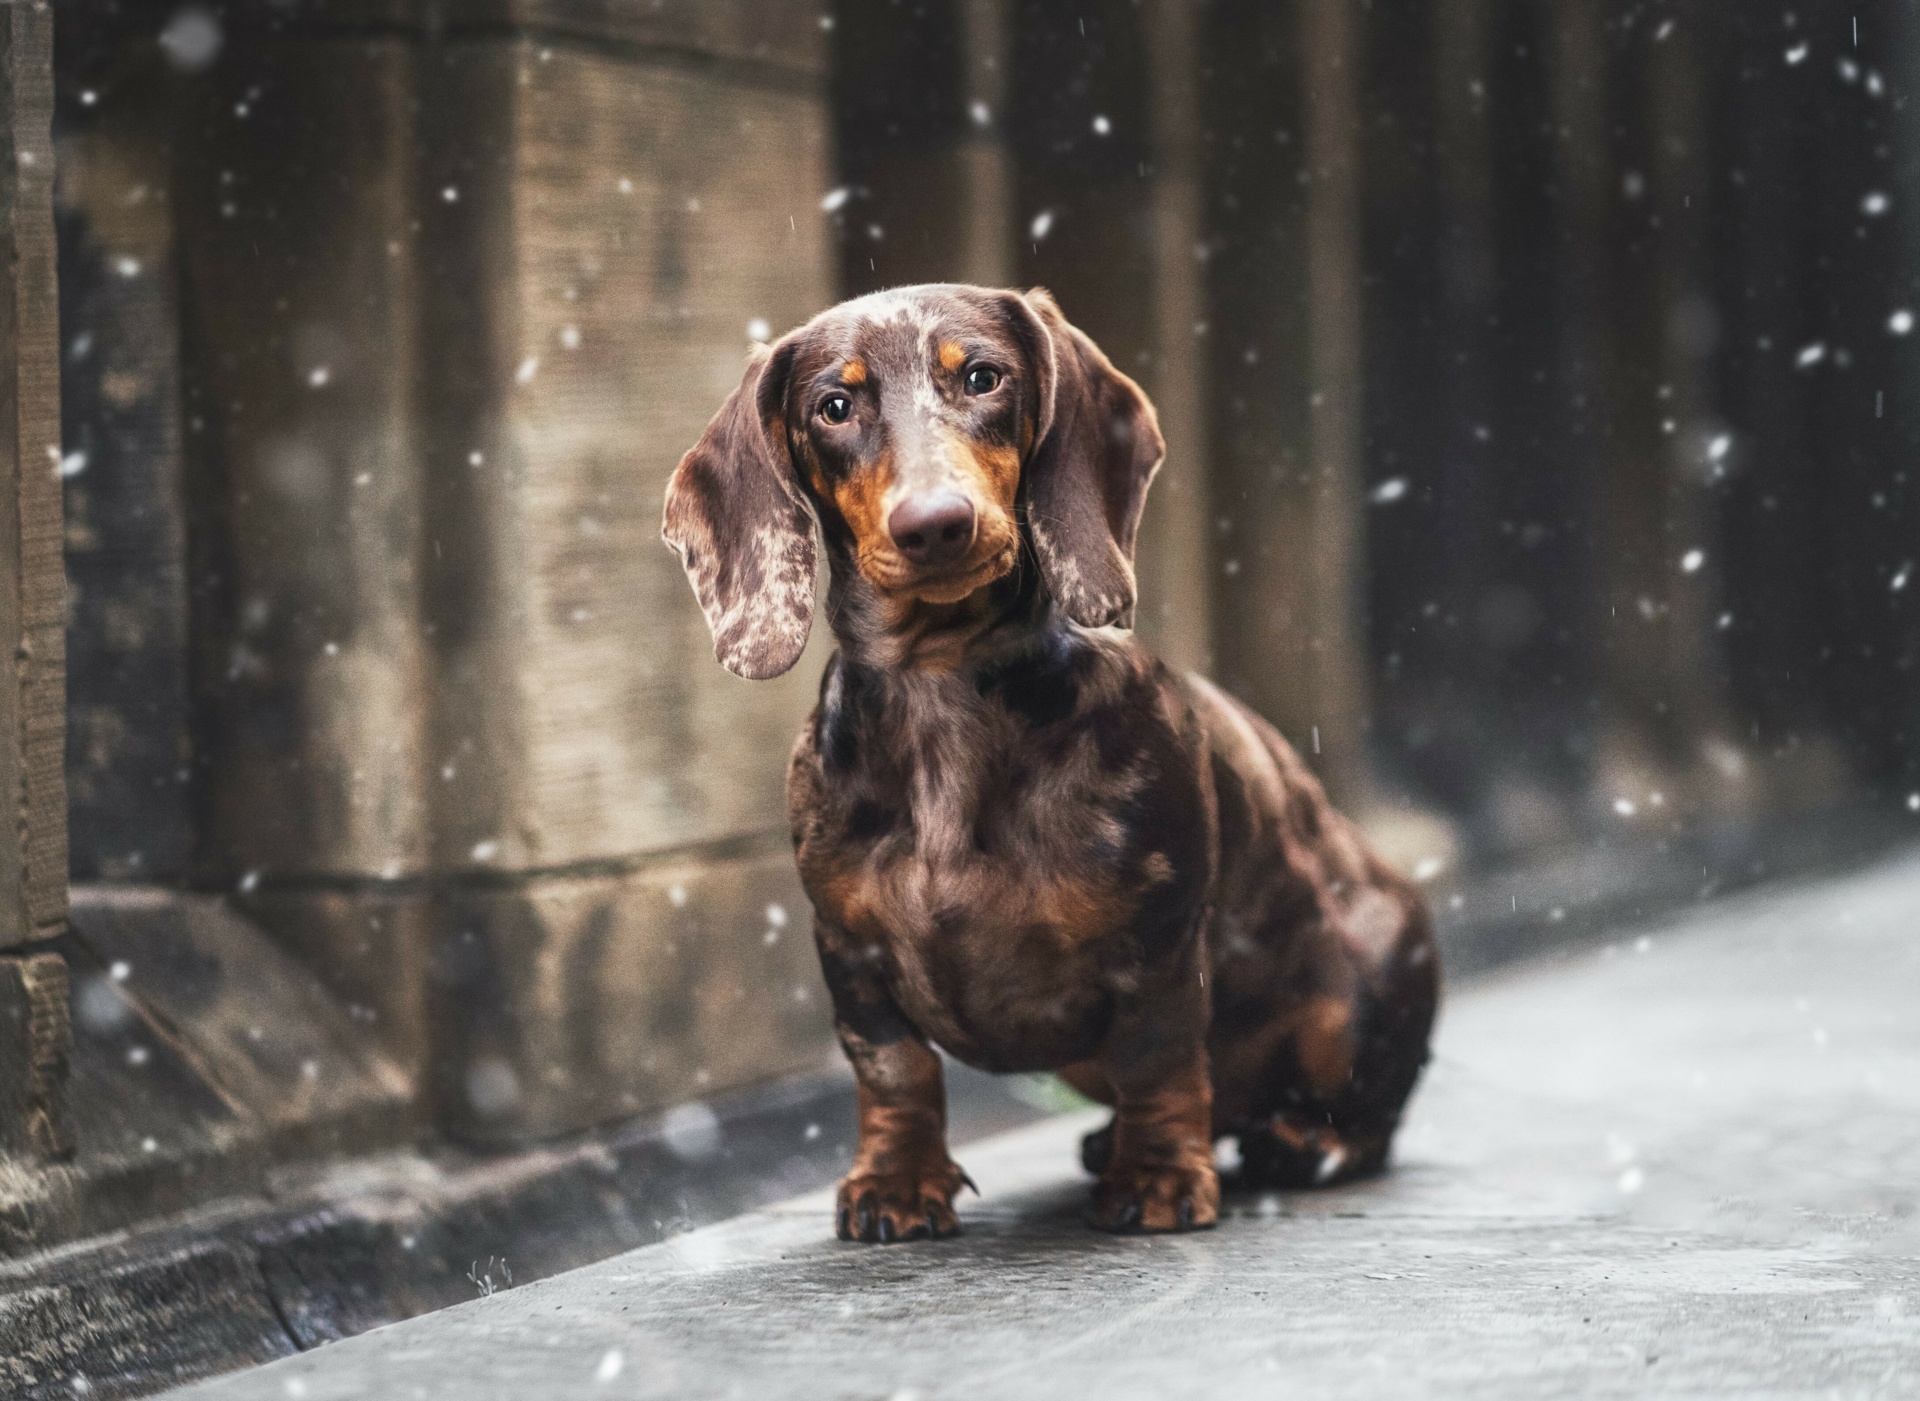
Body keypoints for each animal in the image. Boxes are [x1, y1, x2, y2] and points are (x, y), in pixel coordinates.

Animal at [668, 280, 1436, 1235]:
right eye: (834, 407)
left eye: (983, 377)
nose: (936, 525)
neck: (943, 679)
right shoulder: (848, 951)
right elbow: (896, 1068)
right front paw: (896, 1182)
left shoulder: (1158, 939)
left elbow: (1158, 1057)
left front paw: (1157, 1177)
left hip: (1362, 978)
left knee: (1362, 1113)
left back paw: (1297, 1142)